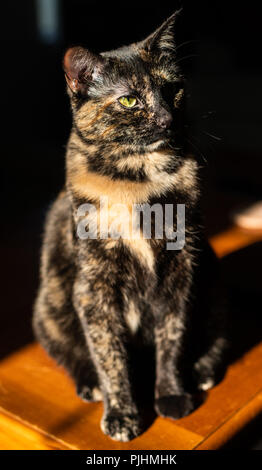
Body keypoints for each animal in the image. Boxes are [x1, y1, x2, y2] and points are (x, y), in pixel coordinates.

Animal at [32, 11, 228, 444]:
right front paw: (122, 413)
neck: (138, 180)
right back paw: (90, 385)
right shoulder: (94, 288)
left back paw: (202, 370)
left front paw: (171, 396)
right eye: (129, 99)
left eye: (172, 89)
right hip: (50, 306)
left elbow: (172, 338)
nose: (167, 119)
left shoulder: (181, 272)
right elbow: (110, 355)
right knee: (71, 352)